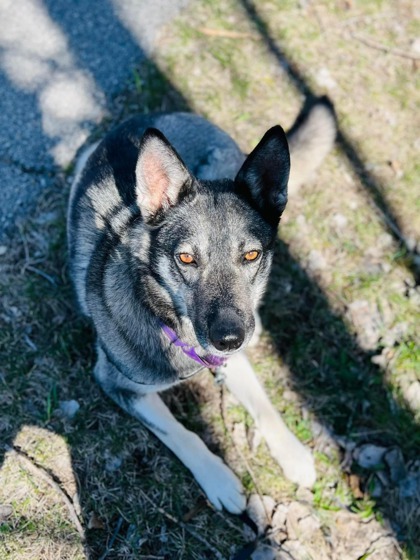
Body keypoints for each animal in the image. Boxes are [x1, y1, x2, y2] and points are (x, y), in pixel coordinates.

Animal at [69, 98, 338, 516]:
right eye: (186, 258)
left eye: (251, 255)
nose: (229, 339)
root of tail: (162, 113)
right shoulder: (119, 384)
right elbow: (183, 434)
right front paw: (219, 478)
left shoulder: (230, 354)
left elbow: (264, 406)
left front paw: (292, 452)